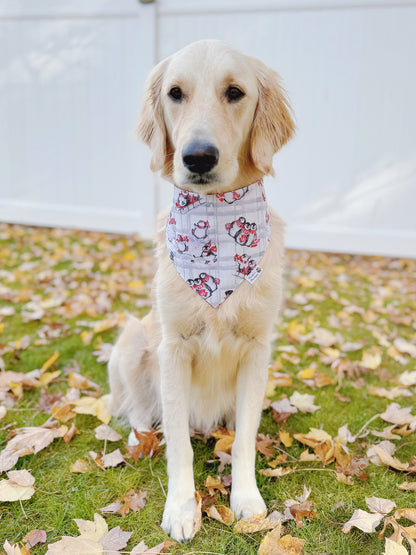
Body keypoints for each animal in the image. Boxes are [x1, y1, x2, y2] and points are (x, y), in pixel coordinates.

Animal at [109, 40, 294, 544]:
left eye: (235, 92)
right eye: (176, 93)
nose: (197, 157)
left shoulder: (257, 349)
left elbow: (245, 439)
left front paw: (246, 499)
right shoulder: (172, 348)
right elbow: (179, 446)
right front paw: (180, 508)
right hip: (131, 342)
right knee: (138, 411)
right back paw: (140, 438)